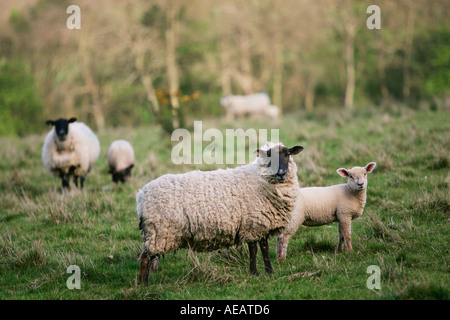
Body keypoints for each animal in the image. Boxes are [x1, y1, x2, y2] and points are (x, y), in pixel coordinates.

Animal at [137, 141, 304, 284]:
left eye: (287, 154)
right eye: (269, 155)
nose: (281, 173)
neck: (258, 178)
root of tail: (142, 194)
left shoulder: (261, 223)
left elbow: (265, 249)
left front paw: (270, 272)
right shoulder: (252, 224)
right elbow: (253, 250)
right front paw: (254, 273)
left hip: (157, 233)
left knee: (148, 257)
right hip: (159, 231)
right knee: (145, 257)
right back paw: (143, 285)